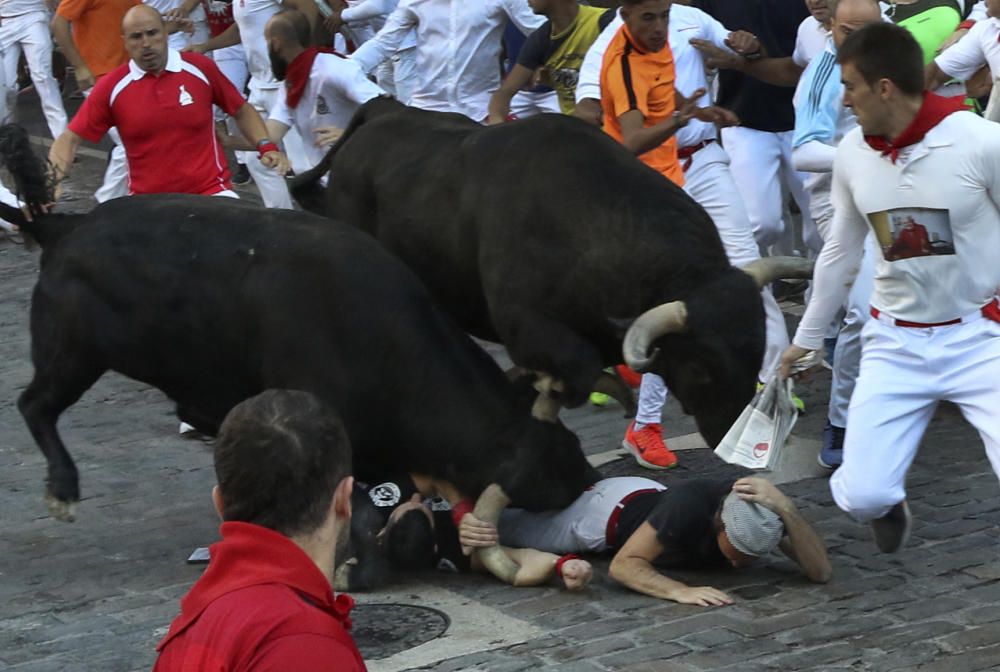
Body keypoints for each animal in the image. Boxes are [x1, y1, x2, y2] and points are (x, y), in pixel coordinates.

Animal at [0, 122, 596, 584]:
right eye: (549, 462)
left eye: (566, 440)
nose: (590, 478)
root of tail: (65, 225)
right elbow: (360, 515)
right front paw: (352, 568)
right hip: (71, 354)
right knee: (35, 405)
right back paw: (62, 491)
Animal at [292, 97, 812, 448]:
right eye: (701, 367)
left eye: (756, 350)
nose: (730, 435)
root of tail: (384, 110)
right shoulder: (522, 322)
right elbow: (579, 366)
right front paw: (598, 388)